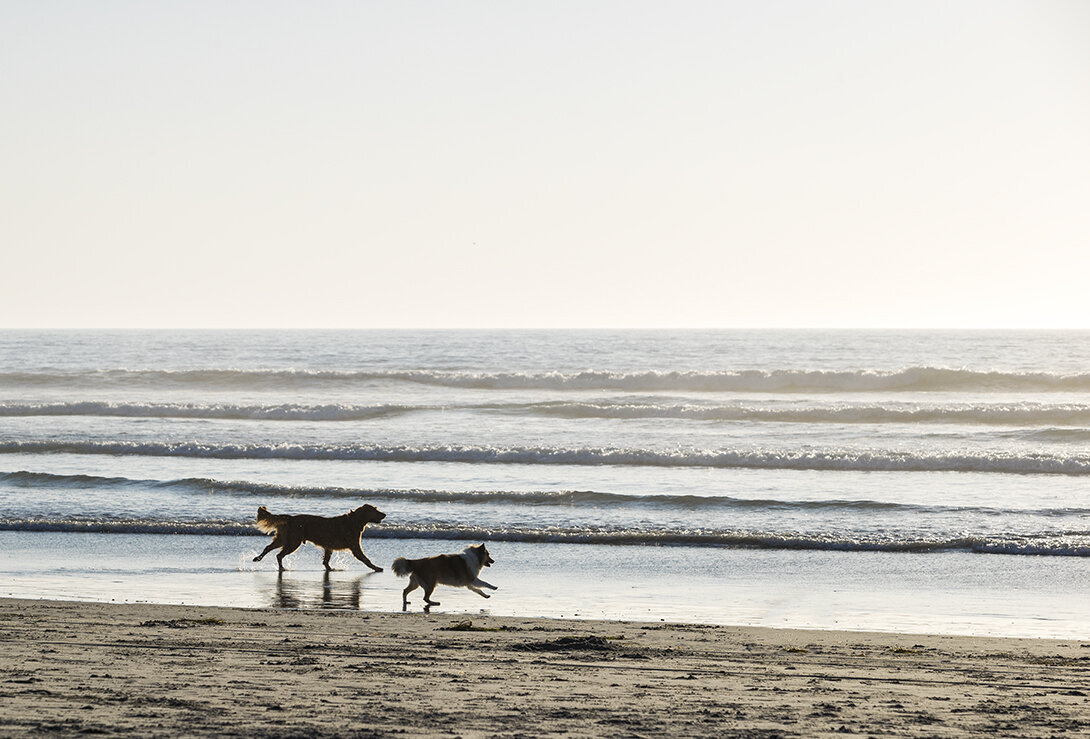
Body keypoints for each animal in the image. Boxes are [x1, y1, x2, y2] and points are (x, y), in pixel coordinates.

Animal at [250, 505, 388, 575]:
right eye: (375, 510)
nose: (384, 514)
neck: (354, 521)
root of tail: (291, 518)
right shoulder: (355, 547)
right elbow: (366, 559)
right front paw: (376, 568)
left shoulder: (329, 547)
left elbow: (326, 561)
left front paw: (329, 568)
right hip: (293, 542)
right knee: (279, 555)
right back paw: (281, 568)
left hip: (283, 539)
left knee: (268, 548)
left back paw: (258, 558)